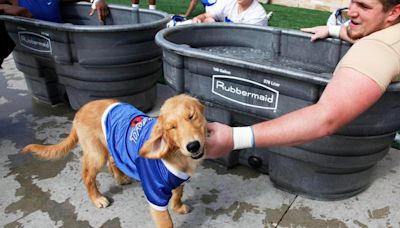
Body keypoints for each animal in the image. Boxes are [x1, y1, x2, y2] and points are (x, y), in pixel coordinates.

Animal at [22, 93, 206, 227]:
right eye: (171, 127)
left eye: (191, 116)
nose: (193, 146)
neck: (176, 154)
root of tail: (81, 110)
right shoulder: (155, 195)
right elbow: (166, 222)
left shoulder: (178, 178)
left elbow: (178, 194)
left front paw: (178, 207)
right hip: (96, 155)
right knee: (87, 176)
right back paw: (97, 199)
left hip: (113, 144)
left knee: (113, 160)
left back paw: (120, 177)